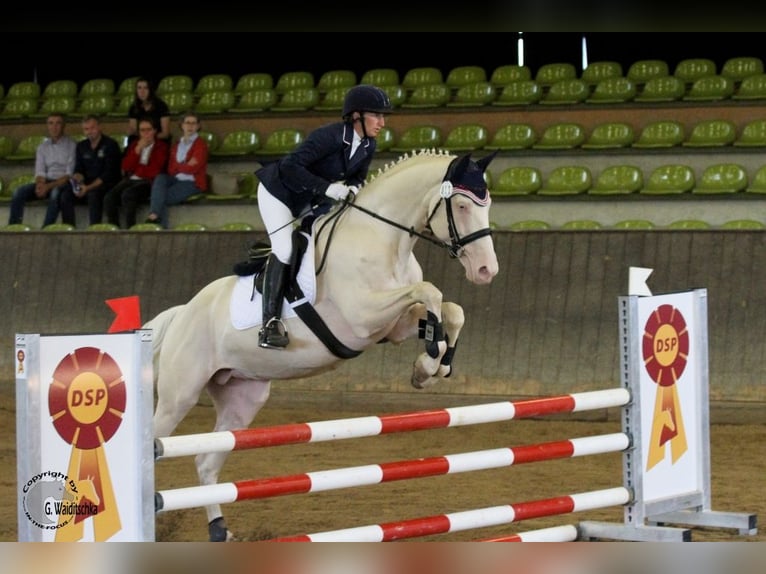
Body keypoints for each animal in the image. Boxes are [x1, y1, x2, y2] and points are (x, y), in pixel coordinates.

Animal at [146, 151, 500, 544]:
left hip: (242, 398)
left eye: (487, 205)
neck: (382, 238)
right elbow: (430, 292)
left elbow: (452, 310)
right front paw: (432, 357)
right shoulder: (364, 317)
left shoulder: (392, 326)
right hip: (180, 395)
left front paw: (429, 368)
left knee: (206, 462)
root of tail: (182, 313)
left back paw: (220, 530)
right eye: (463, 205)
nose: (486, 270)